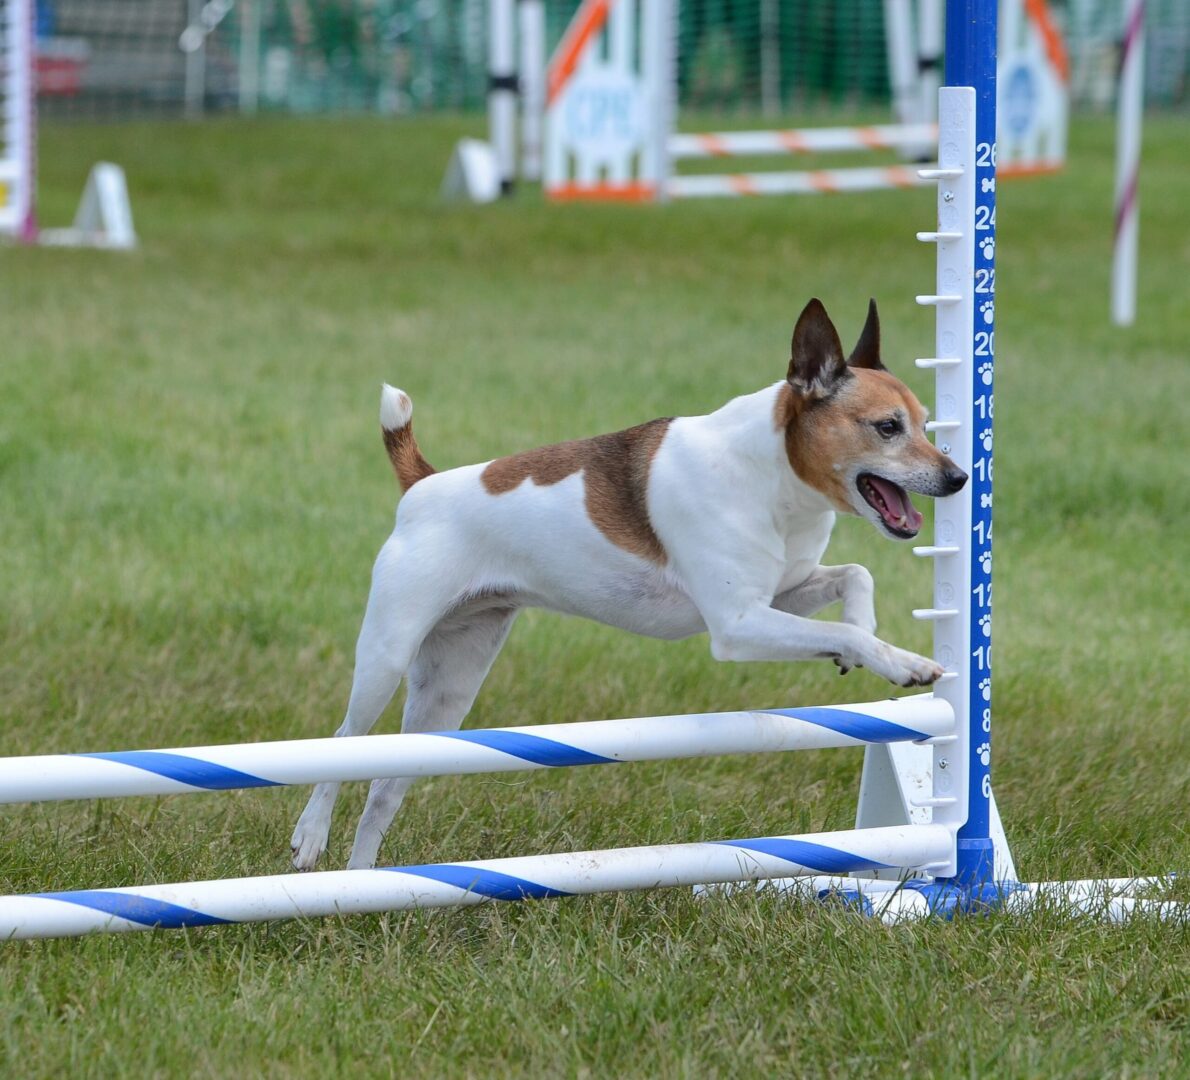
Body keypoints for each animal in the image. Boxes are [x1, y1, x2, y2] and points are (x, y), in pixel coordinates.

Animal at [290, 297, 966, 870]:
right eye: (887, 427)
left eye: (927, 423)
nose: (959, 478)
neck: (772, 471)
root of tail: (423, 484)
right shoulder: (738, 624)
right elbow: (853, 624)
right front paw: (900, 661)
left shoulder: (781, 595)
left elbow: (857, 578)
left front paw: (864, 635)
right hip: (387, 656)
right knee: (343, 743)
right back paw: (310, 840)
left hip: (447, 695)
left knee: (382, 788)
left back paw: (360, 889)